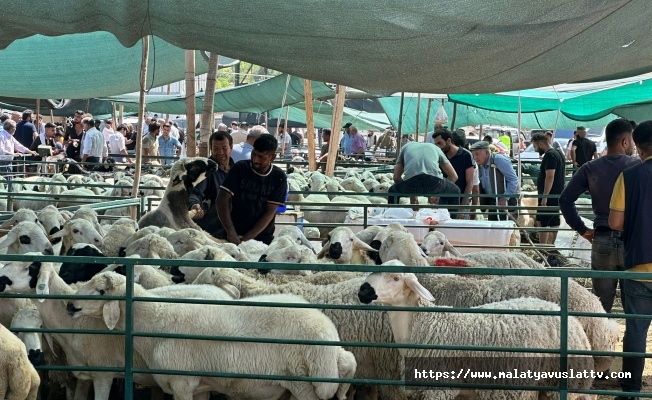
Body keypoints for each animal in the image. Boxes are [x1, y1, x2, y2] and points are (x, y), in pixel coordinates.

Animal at [66, 272, 356, 400]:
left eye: (101, 291)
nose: (70, 305)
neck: (156, 318)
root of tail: (326, 330)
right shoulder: (200, 385)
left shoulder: (182, 382)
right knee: (347, 362)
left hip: (304, 384)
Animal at [356, 268, 596, 400]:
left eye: (396, 278)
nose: (363, 291)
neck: (422, 324)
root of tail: (574, 325)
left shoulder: (438, 389)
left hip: (567, 383)